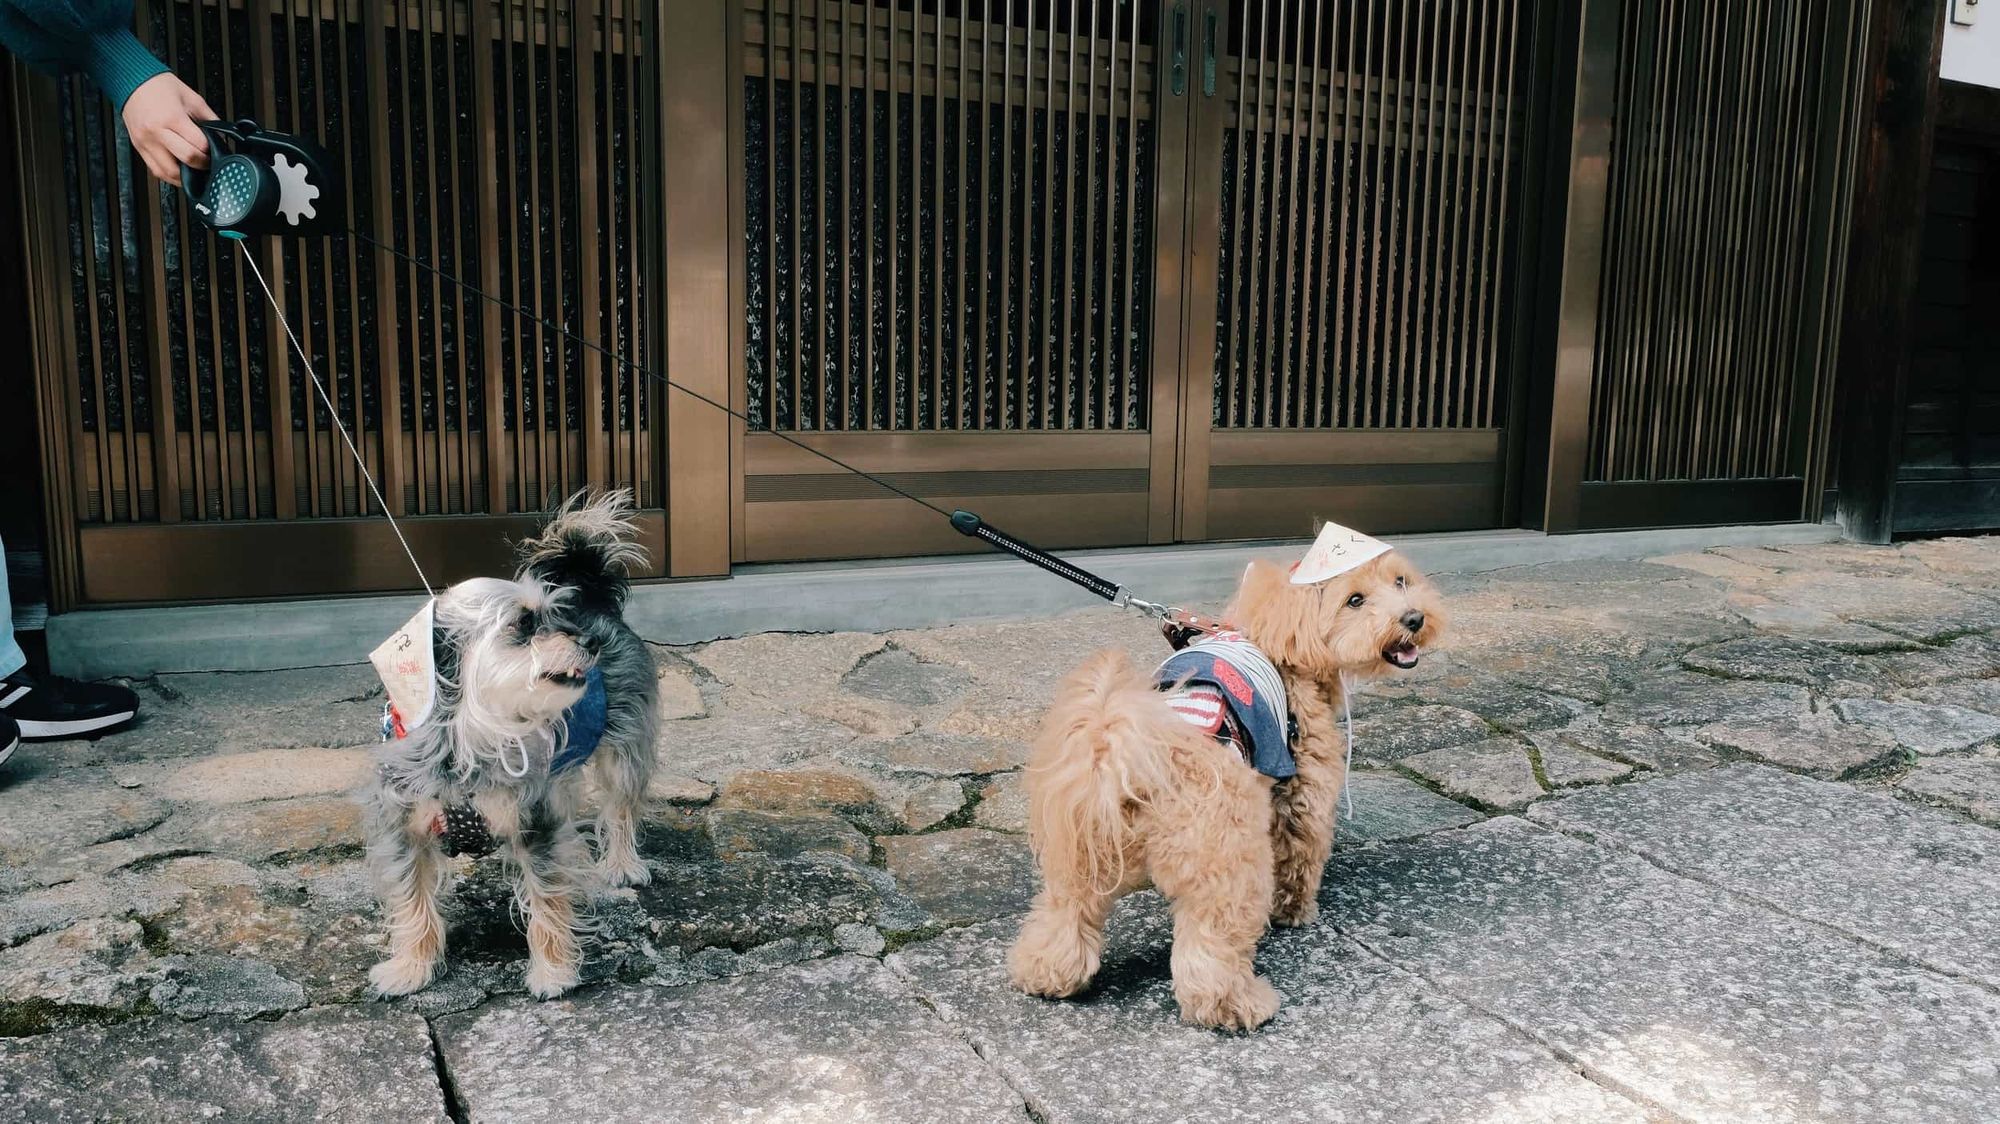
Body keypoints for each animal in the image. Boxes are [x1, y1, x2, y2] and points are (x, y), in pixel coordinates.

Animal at [364, 486, 660, 992]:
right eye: (523, 624)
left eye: (553, 615)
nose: (589, 642)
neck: (473, 734)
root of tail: (595, 602)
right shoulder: (404, 829)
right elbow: (413, 903)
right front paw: (411, 968)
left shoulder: (537, 824)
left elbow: (547, 903)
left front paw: (553, 972)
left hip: (623, 750)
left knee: (620, 809)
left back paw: (621, 864)